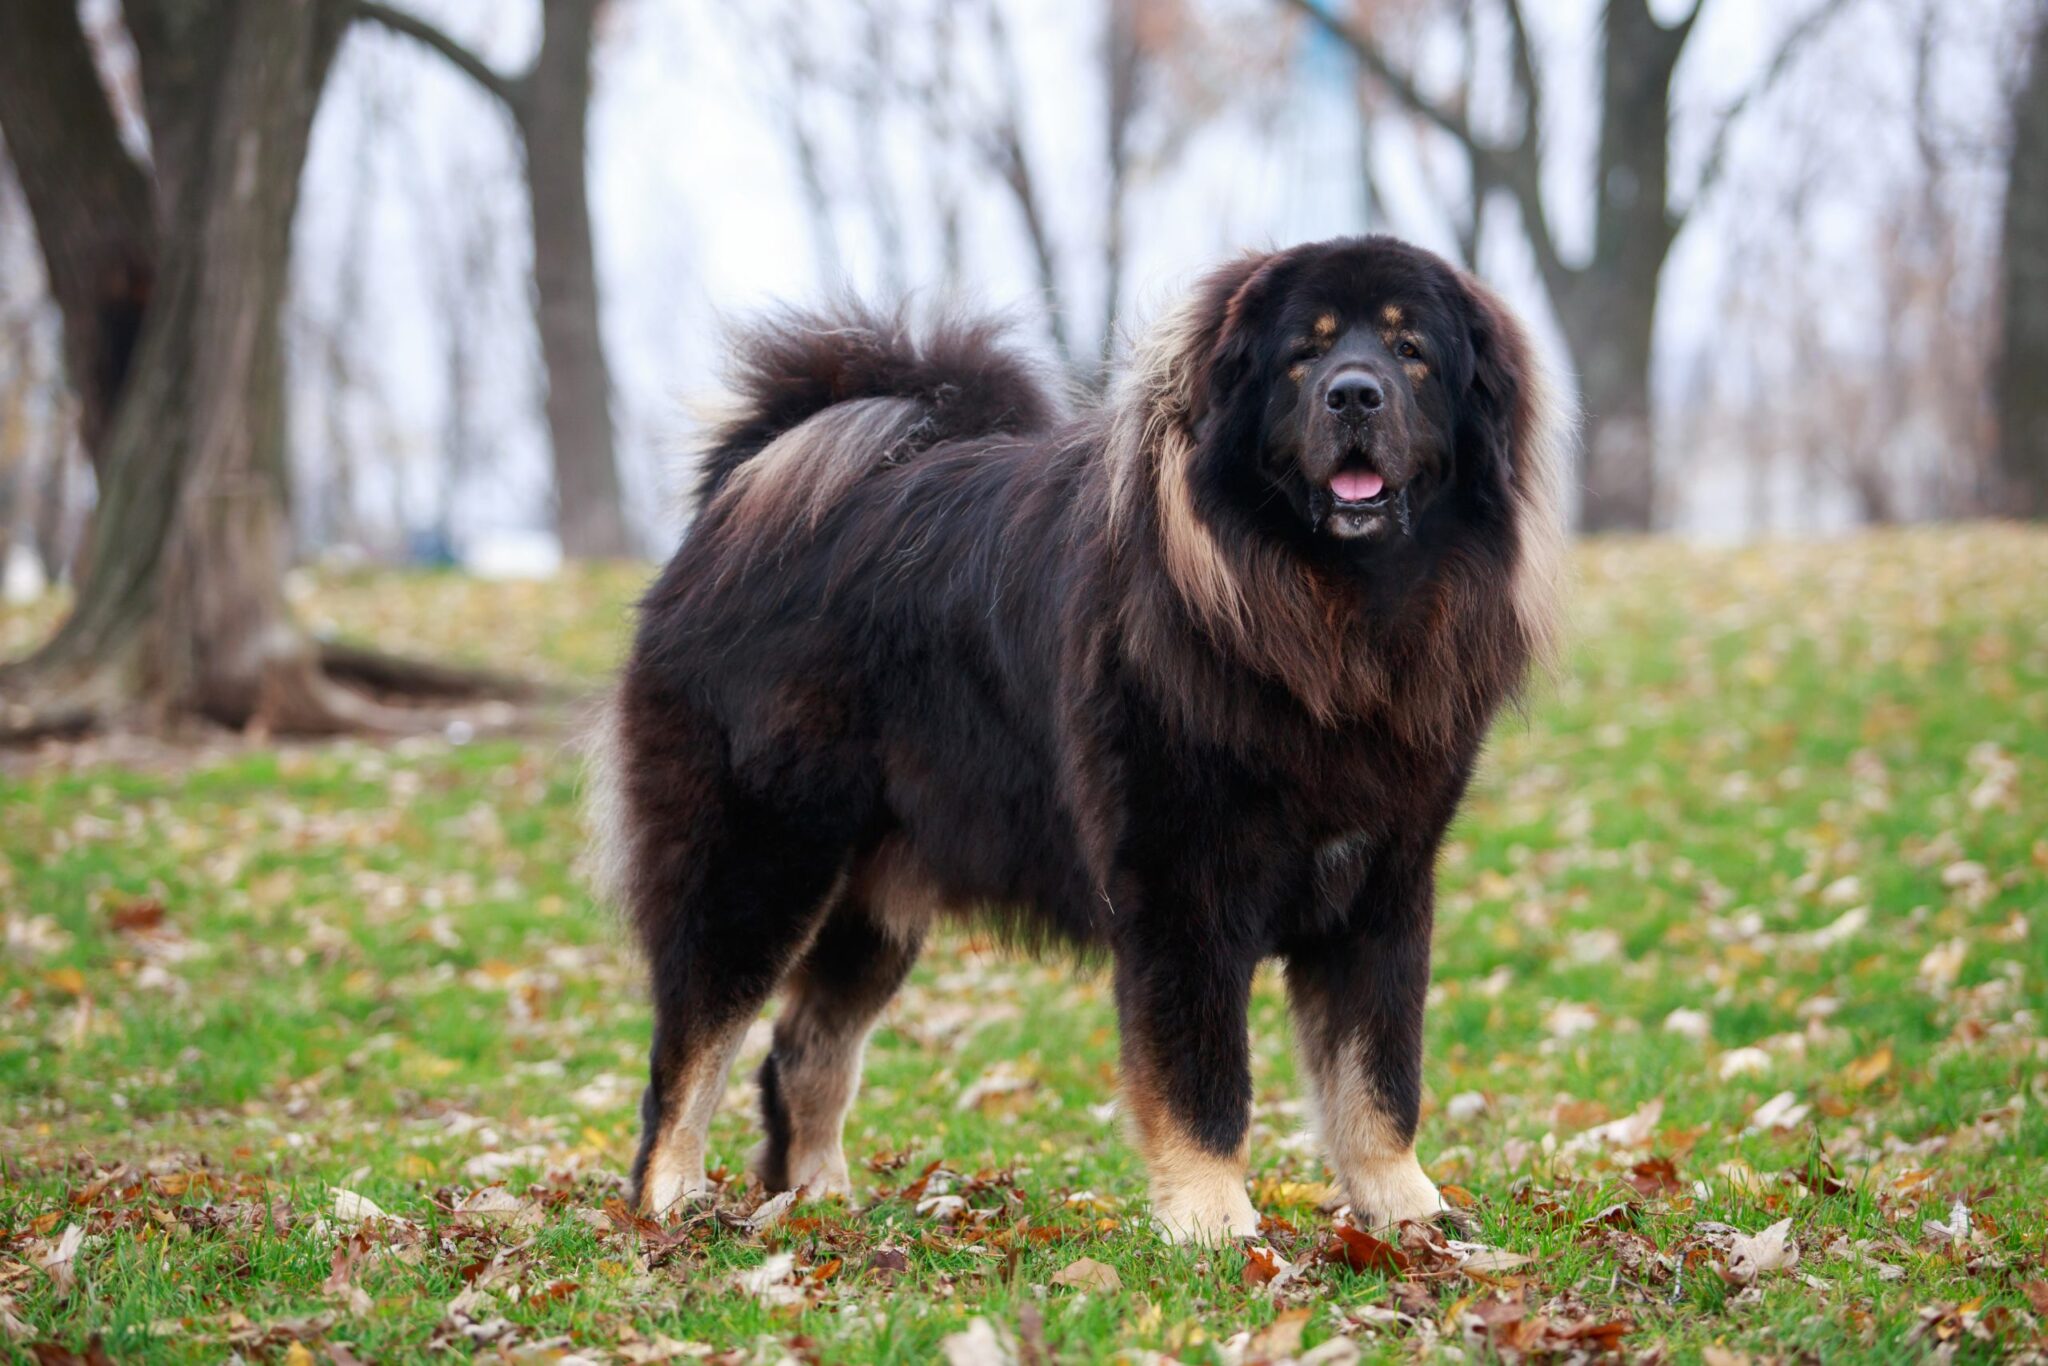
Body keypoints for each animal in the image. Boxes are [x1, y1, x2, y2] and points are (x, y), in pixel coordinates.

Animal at [593, 237, 1564, 1253]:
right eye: (1307, 353)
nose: (1354, 395)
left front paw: (1411, 1215)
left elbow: (1379, 1077)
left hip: (876, 901)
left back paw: (818, 1202)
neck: (1331, 617)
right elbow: (1204, 1080)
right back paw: (673, 1205)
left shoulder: (1383, 885)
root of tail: (742, 496)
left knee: (802, 1054)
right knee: (690, 1052)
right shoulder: (1183, 889)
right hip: (760, 861)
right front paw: (1215, 1224)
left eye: (1411, 353)